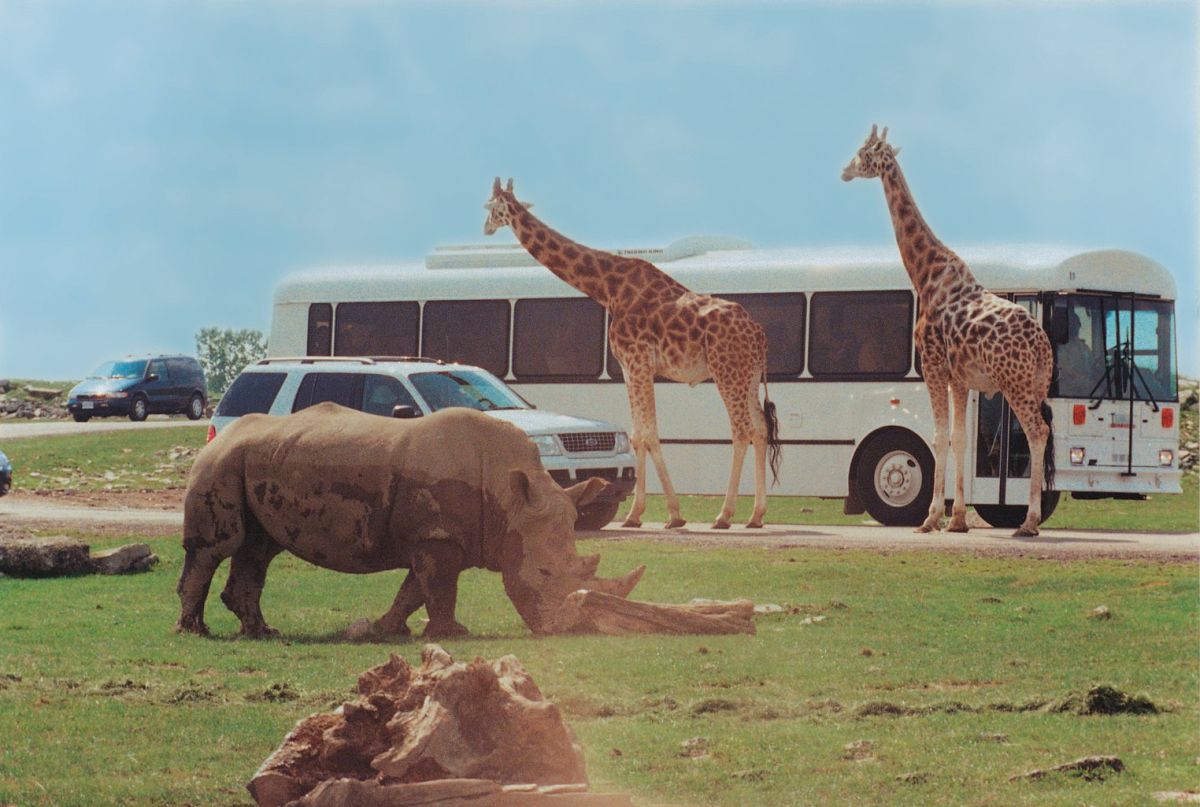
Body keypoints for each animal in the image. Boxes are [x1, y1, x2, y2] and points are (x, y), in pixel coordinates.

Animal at [482, 176, 782, 528]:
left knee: (741, 430)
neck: (606, 287)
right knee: (760, 429)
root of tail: (758, 334)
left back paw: (724, 515)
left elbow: (647, 434)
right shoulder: (629, 366)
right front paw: (651, 514)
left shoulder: (636, 361)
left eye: (490, 207)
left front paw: (657, 514)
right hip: (748, 375)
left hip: (727, 371)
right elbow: (640, 434)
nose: (486, 228)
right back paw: (756, 515)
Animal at [840, 124, 1056, 535]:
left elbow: (939, 438)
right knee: (1045, 433)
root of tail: (1042, 344)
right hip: (1037, 384)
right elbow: (959, 437)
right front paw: (956, 521)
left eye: (863, 152)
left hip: (1015, 384)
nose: (844, 171)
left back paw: (1029, 522)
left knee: (1037, 433)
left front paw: (930, 518)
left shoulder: (933, 366)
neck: (925, 275)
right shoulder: (961, 378)